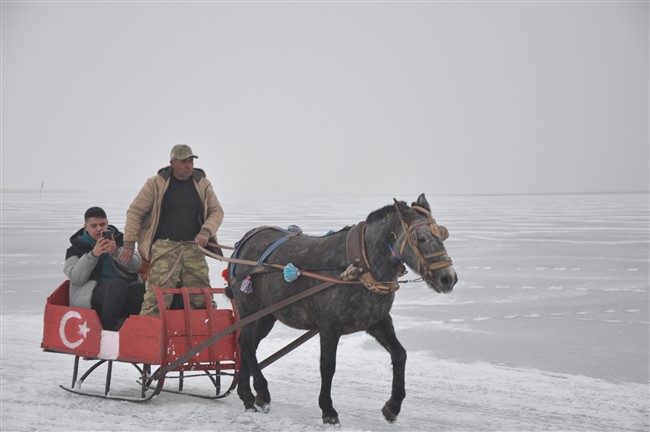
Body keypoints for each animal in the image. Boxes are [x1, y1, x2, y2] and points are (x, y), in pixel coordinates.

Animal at [225, 193, 458, 426]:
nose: (448, 278)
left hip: (267, 316)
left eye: (442, 235)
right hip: (250, 309)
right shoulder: (329, 326)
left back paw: (248, 396)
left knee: (246, 345)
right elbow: (328, 366)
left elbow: (400, 354)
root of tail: (245, 241)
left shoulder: (378, 321)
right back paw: (261, 394)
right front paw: (328, 410)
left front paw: (392, 406)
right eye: (421, 238)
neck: (361, 265)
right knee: (247, 345)